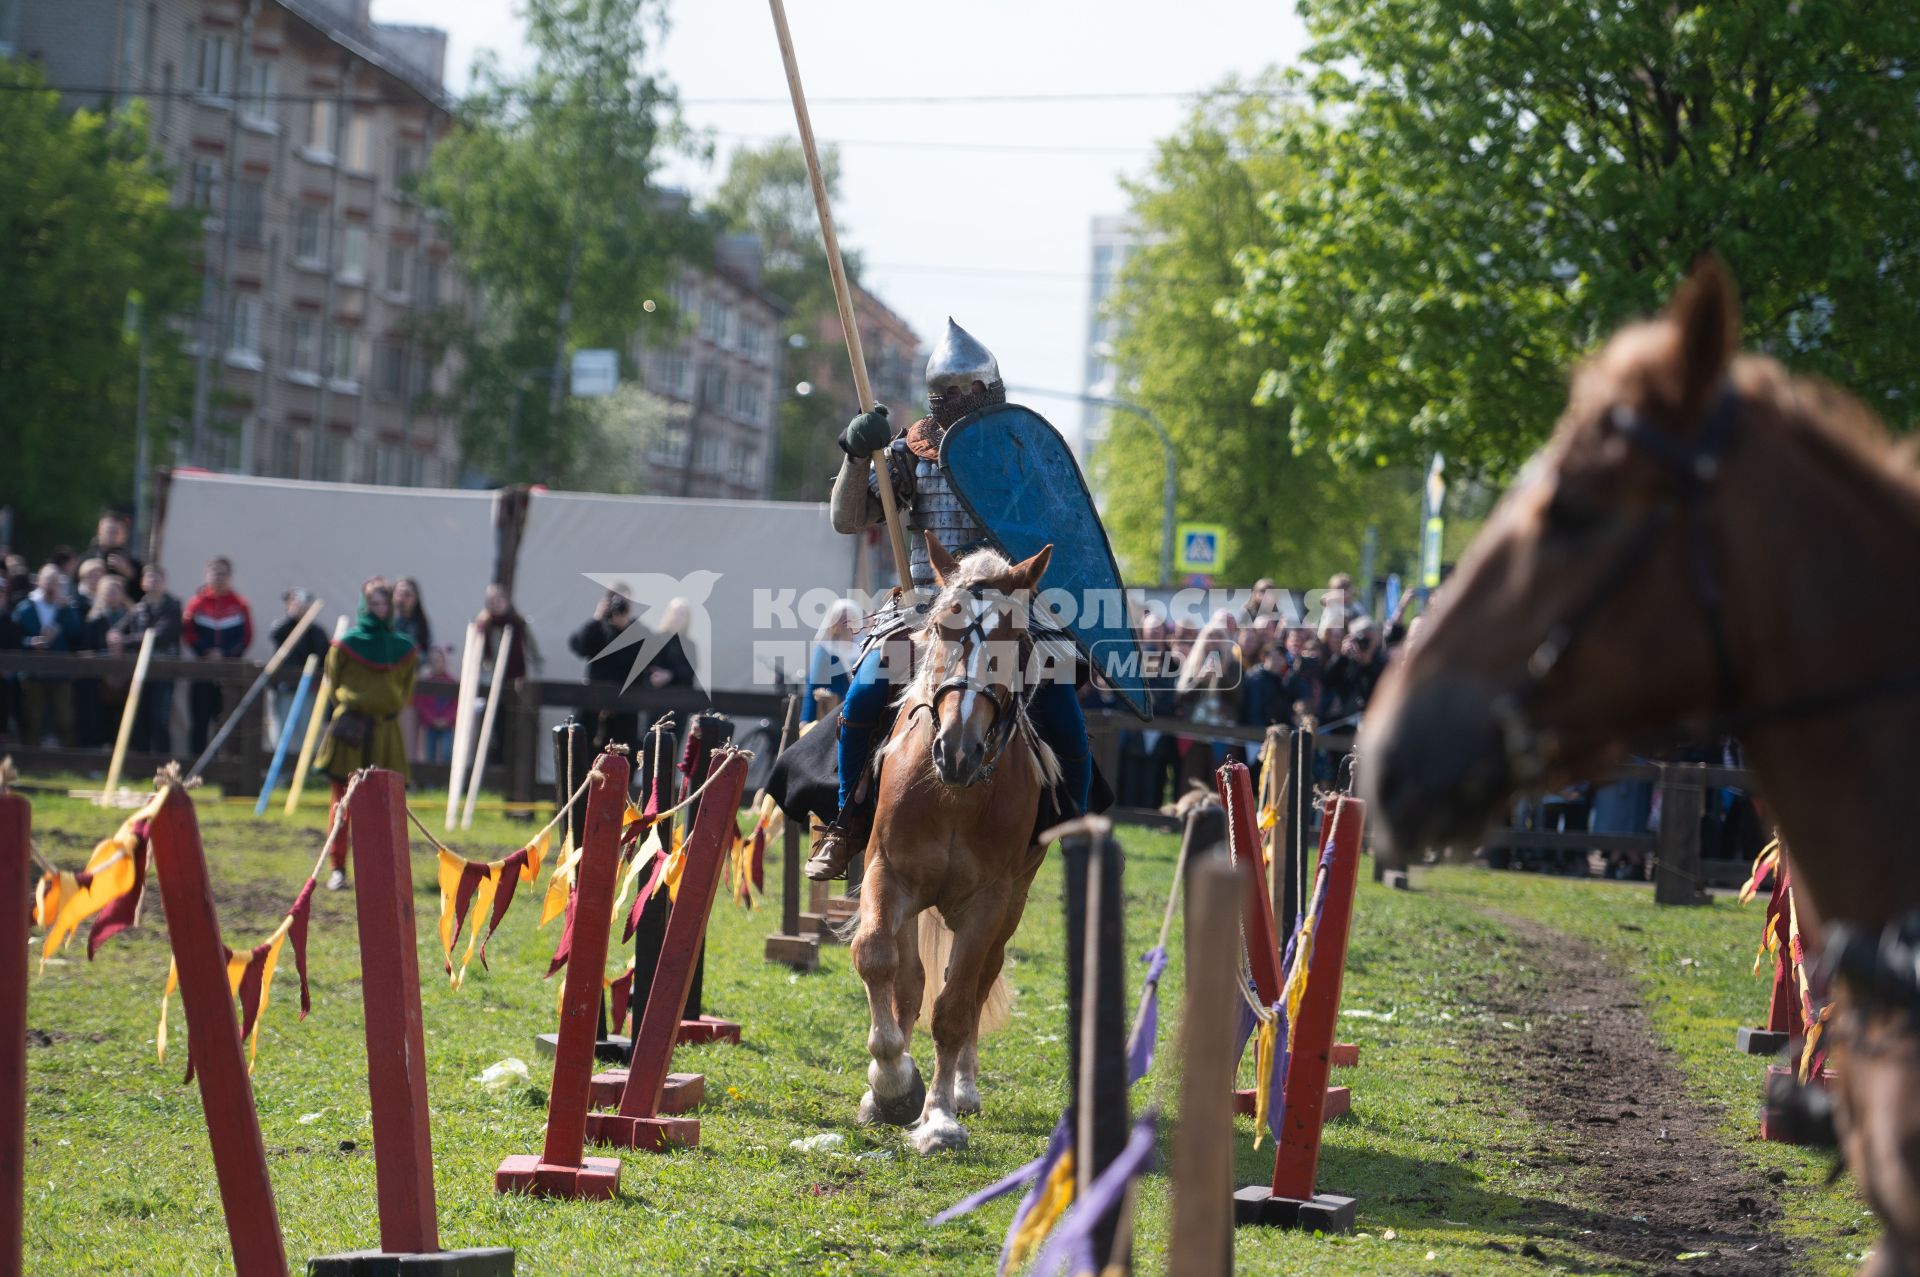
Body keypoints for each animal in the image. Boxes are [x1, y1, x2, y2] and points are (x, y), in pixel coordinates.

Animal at [856, 533, 1067, 1152]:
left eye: (1019, 640)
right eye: (941, 626)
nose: (958, 750)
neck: (953, 796)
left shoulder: (988, 903)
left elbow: (954, 1007)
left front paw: (939, 1117)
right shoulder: (887, 875)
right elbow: (876, 959)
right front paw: (891, 1086)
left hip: (1011, 905)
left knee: (977, 982)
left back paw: (963, 1089)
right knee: (909, 983)